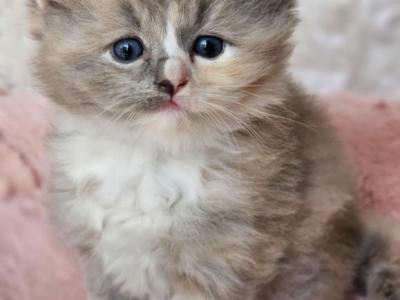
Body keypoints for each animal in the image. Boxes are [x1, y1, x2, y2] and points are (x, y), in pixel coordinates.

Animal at [28, 0, 396, 300]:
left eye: (208, 46)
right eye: (127, 50)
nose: (173, 82)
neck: (155, 160)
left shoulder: (226, 257)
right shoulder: (102, 263)